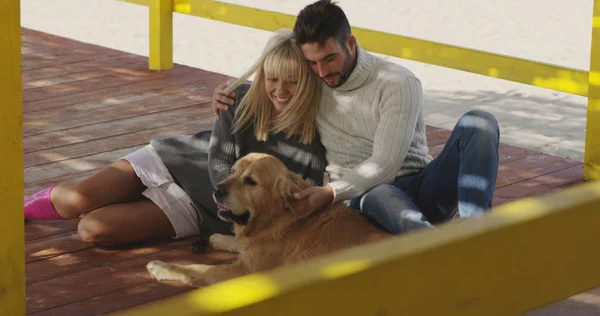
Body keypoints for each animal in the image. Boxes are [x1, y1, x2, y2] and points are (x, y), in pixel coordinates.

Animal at [145, 152, 390, 288]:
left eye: (251, 181)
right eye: (233, 171)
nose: (217, 190)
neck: (277, 217)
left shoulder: (244, 271)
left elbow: (196, 268)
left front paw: (161, 266)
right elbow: (239, 243)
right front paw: (221, 238)